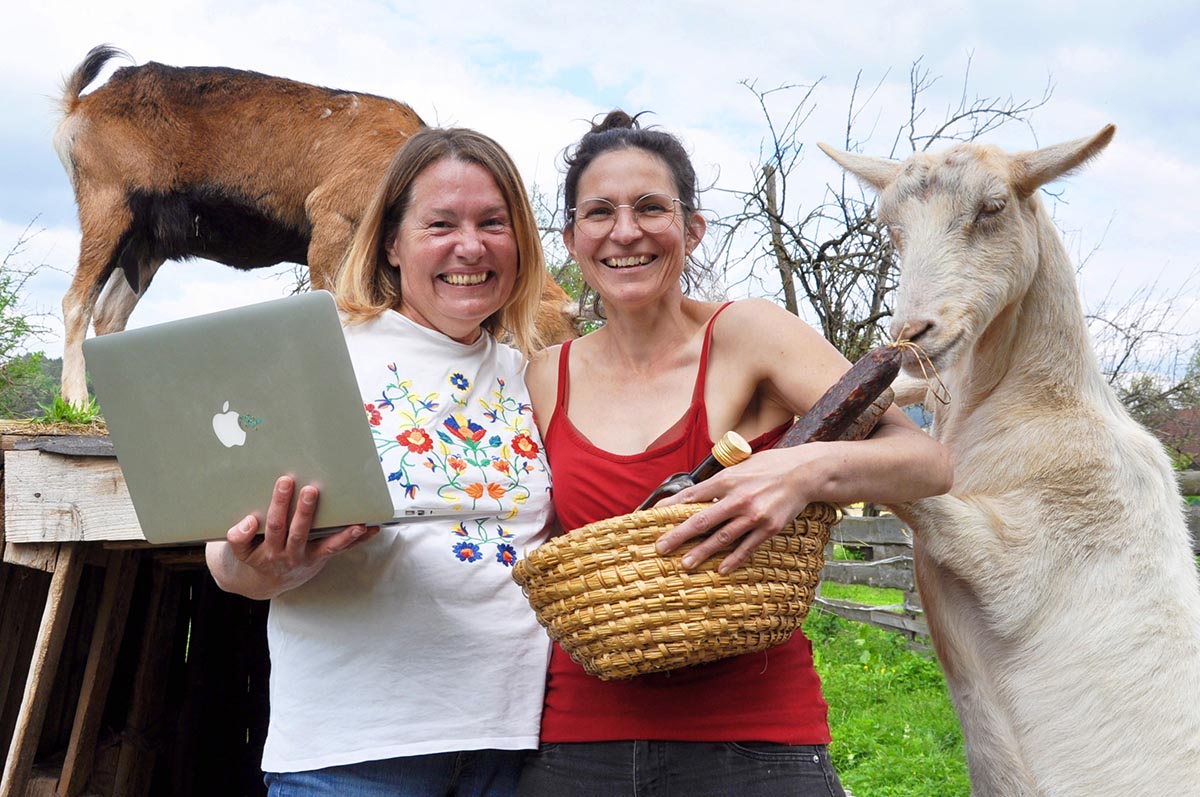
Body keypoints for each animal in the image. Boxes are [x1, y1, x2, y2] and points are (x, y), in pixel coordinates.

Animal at [820, 127, 1200, 792]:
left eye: (993, 207)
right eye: (890, 224)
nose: (913, 333)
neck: (1038, 408)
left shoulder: (1039, 548)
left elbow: (917, 494)